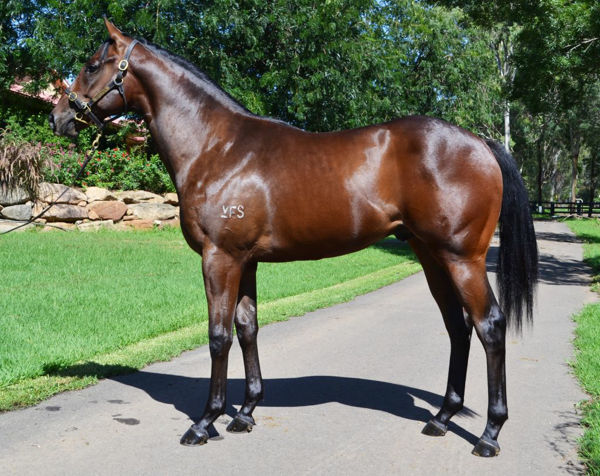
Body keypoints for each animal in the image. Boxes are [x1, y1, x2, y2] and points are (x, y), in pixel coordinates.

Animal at [50, 19, 540, 458]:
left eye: (92, 65)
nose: (59, 117)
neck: (217, 147)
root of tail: (481, 142)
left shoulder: (219, 258)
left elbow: (218, 335)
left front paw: (205, 422)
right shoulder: (245, 260)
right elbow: (247, 328)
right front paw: (245, 412)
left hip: (462, 258)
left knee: (489, 326)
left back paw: (489, 435)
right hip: (430, 255)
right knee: (458, 327)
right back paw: (441, 418)